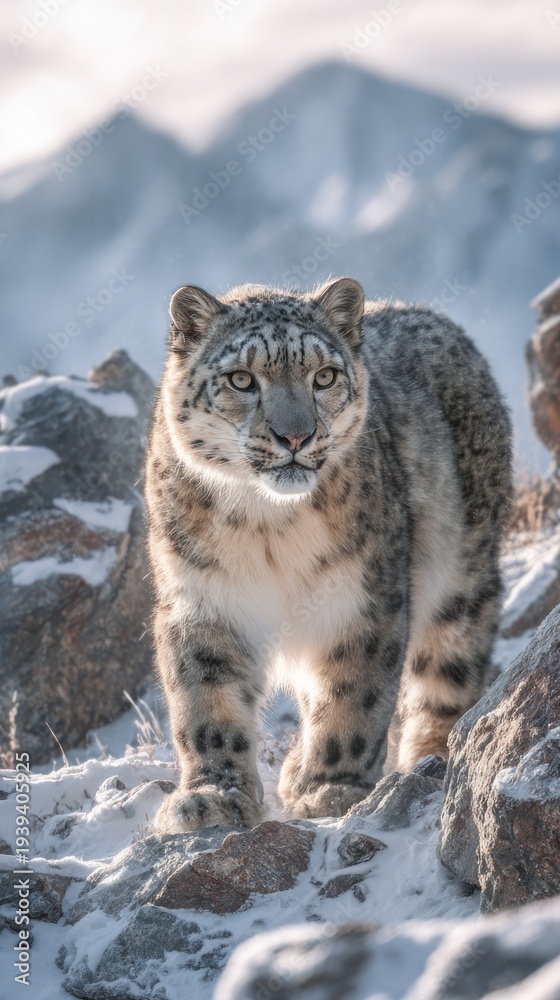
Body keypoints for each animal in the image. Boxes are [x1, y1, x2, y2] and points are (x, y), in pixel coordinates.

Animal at [145, 277, 512, 832]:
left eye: (324, 376)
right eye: (241, 379)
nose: (295, 435)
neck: (267, 526)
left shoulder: (363, 597)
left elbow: (353, 691)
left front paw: (329, 789)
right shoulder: (203, 601)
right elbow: (205, 702)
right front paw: (213, 795)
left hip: (461, 574)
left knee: (447, 671)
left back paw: (429, 759)